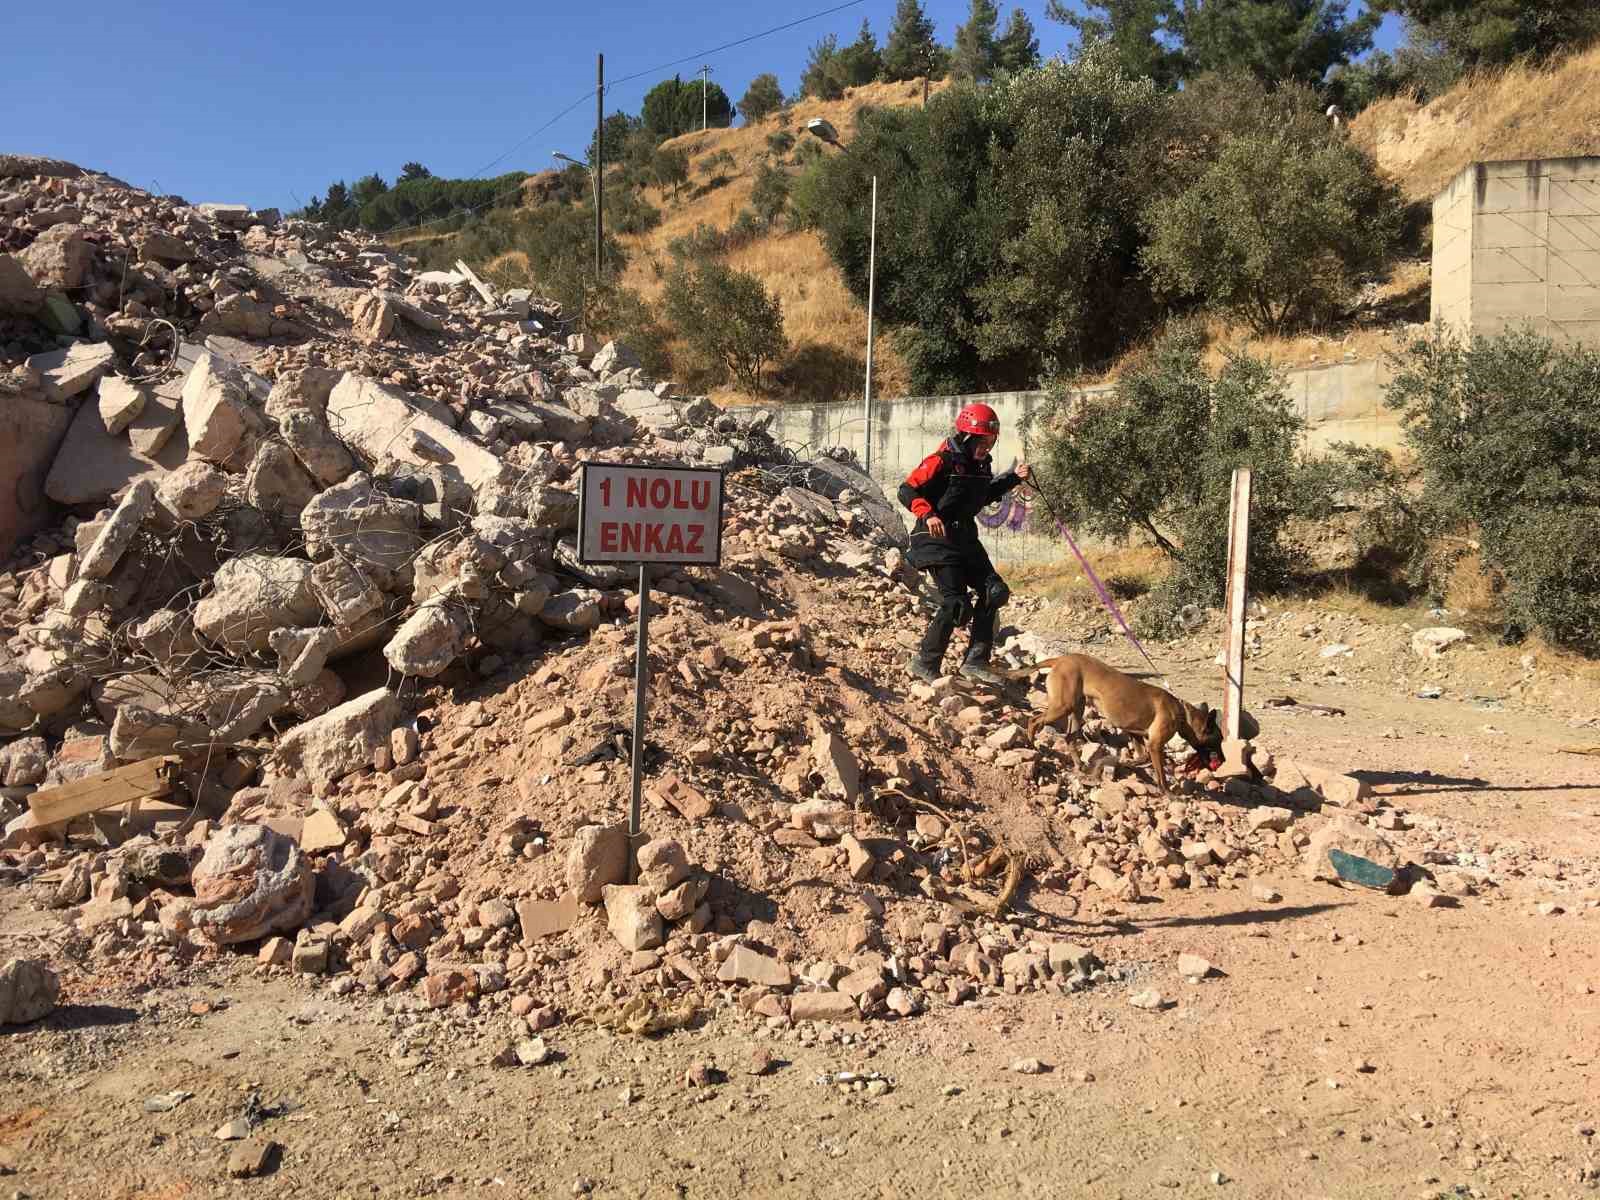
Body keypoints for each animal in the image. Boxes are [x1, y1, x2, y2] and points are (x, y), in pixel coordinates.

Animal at [1004, 652, 1216, 793]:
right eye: (1215, 739)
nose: (1216, 759)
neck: (1181, 712)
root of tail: (1061, 659)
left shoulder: (1135, 733)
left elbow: (1142, 756)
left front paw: (1127, 762)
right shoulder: (1155, 745)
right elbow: (1160, 774)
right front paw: (1168, 793)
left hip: (1076, 709)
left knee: (1070, 737)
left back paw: (1080, 765)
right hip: (1062, 706)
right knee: (1033, 721)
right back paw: (1032, 745)